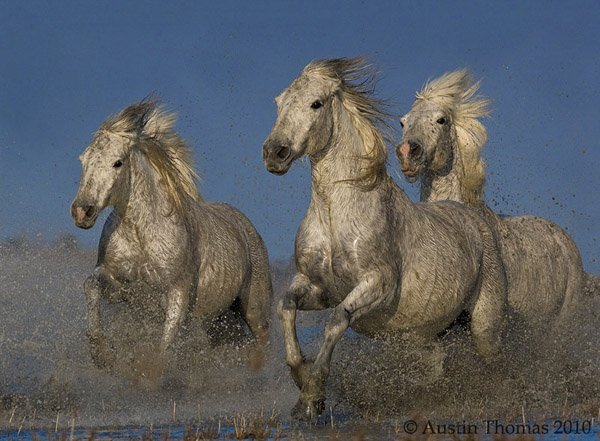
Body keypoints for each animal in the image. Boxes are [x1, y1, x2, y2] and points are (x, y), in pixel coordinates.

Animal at [262, 58, 506, 420]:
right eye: (279, 101)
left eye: (316, 103)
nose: (274, 153)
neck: (337, 214)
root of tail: (471, 214)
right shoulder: (318, 286)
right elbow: (285, 308)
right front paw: (302, 381)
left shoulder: (378, 284)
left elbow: (336, 321)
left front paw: (312, 395)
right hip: (431, 334)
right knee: (437, 363)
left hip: (484, 324)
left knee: (494, 362)